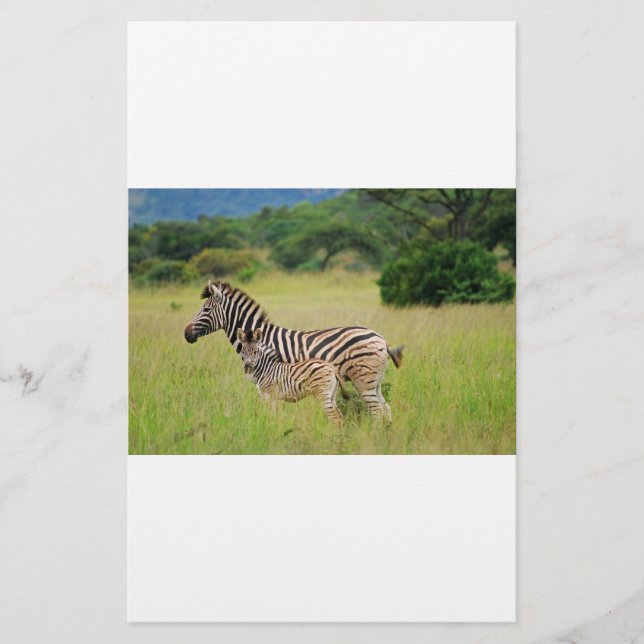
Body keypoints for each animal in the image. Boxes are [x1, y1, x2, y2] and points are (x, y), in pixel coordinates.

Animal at [184, 280, 404, 421]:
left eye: (206, 310)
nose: (186, 334)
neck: (259, 340)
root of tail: (382, 339)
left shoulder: (271, 383)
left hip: (363, 381)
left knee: (376, 412)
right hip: (374, 382)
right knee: (386, 410)